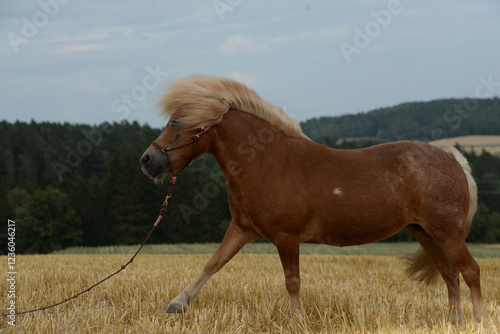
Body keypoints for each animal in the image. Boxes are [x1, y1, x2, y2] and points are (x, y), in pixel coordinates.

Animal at [140, 74, 480, 324]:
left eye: (177, 124)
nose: (147, 161)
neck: (266, 162)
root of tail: (453, 161)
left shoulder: (286, 237)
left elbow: (292, 281)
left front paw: (297, 321)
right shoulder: (242, 230)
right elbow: (213, 263)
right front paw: (178, 303)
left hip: (446, 233)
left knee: (470, 270)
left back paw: (476, 321)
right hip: (425, 234)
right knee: (450, 275)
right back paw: (455, 321)